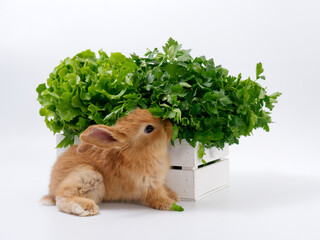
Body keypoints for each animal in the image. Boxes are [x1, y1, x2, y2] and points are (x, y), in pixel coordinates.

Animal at [40, 108, 179, 217]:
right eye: (149, 128)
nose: (170, 123)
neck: (141, 153)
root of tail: (51, 191)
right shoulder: (149, 185)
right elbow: (157, 198)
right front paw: (170, 204)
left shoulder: (160, 182)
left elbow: (165, 189)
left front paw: (174, 196)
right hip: (88, 176)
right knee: (62, 197)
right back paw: (87, 208)